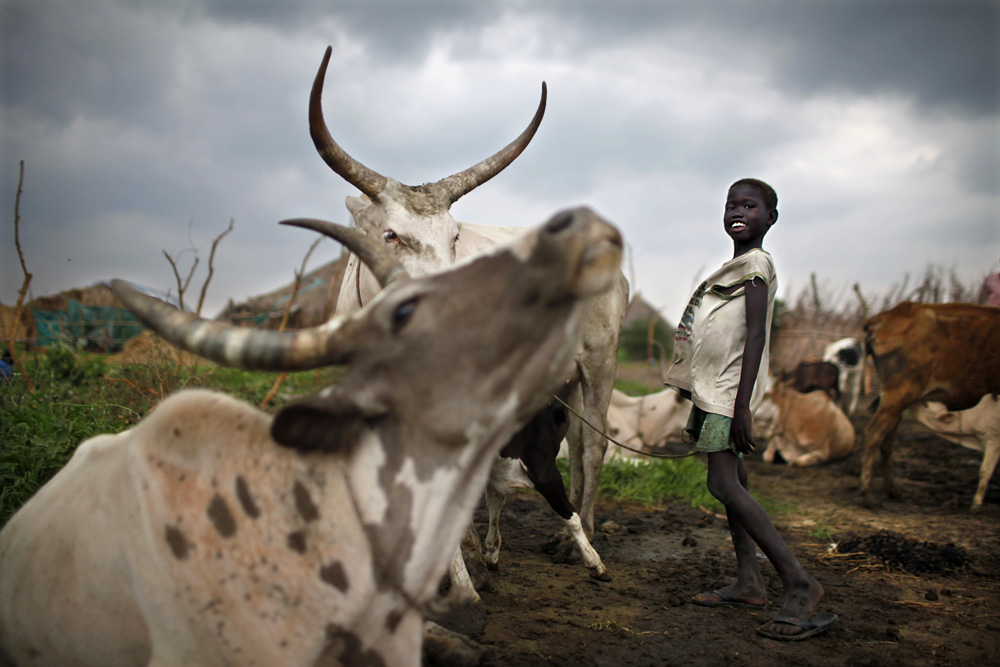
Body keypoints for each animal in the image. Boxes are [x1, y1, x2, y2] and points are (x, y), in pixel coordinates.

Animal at [860, 302, 1000, 506]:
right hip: (899, 394)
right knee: (874, 434)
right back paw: (868, 493)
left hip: (897, 401)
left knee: (887, 441)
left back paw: (893, 490)